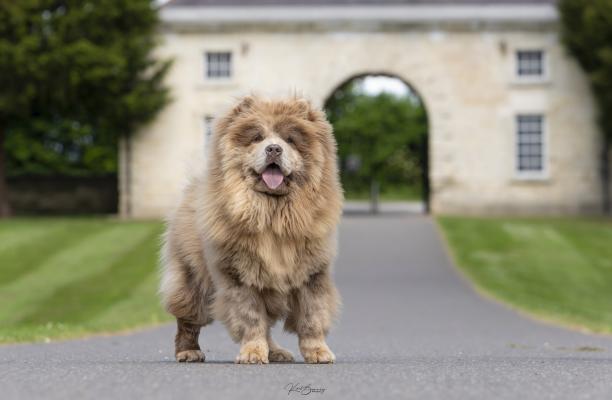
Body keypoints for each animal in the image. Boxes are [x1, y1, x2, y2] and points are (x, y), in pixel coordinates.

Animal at [160, 95, 344, 364]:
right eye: (257, 137)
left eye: (290, 140)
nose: (274, 148)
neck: (272, 214)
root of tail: (193, 187)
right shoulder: (239, 275)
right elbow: (251, 318)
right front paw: (252, 353)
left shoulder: (311, 273)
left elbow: (312, 316)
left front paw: (318, 352)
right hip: (193, 279)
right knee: (188, 320)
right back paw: (188, 352)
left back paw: (277, 353)